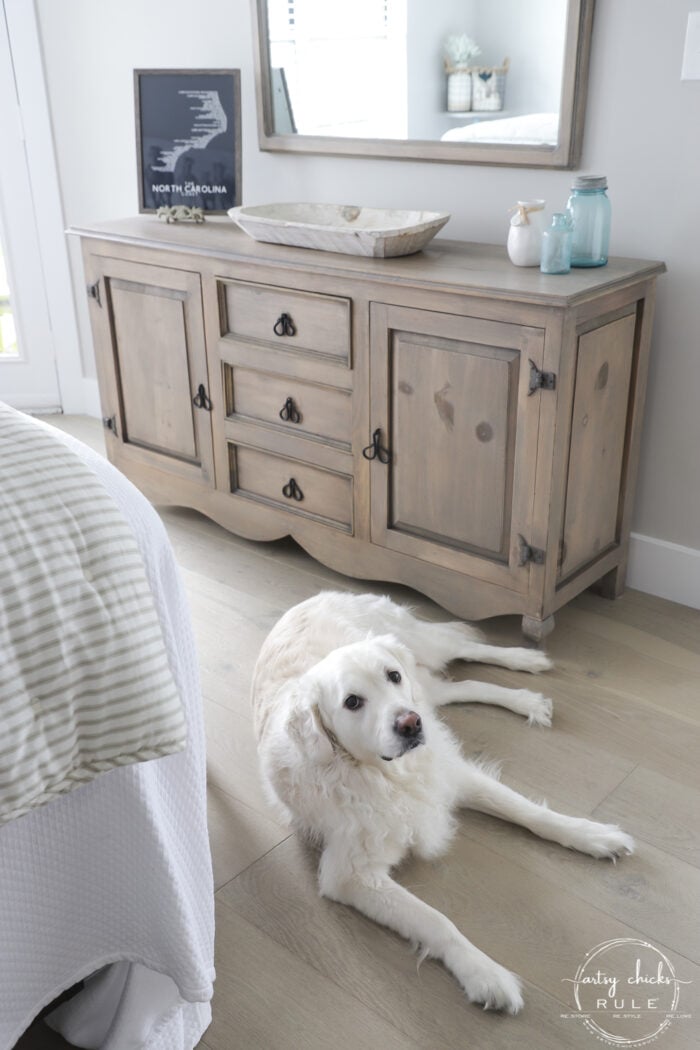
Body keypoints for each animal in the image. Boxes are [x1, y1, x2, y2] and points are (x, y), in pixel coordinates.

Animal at [251, 588, 633, 1012]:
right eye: (352, 702)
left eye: (392, 676)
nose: (410, 723)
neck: (391, 776)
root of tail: (312, 597)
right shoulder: (351, 874)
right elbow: (436, 920)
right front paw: (484, 973)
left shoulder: (455, 776)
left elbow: (529, 811)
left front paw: (591, 835)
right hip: (425, 687)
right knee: (460, 686)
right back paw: (526, 699)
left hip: (419, 650)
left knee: (465, 648)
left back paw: (526, 660)